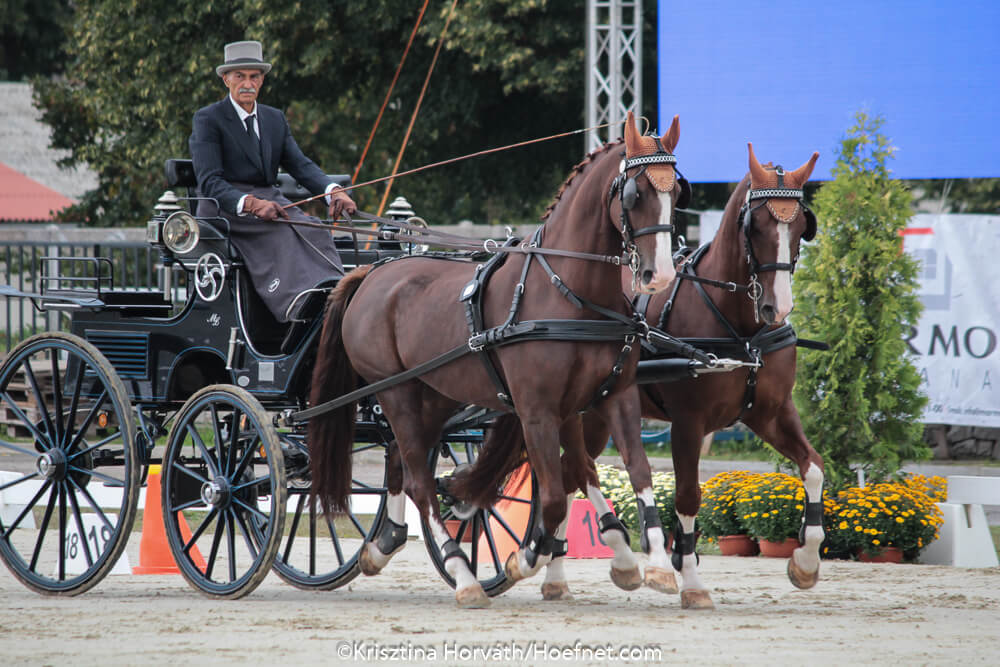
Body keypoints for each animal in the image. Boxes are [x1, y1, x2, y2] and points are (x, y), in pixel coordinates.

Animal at [310, 113, 688, 604]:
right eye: (634, 194)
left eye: (677, 192)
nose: (658, 276)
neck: (570, 293)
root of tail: (371, 272)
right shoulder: (537, 411)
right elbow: (552, 496)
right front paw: (526, 558)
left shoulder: (609, 397)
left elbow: (627, 473)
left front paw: (645, 560)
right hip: (395, 392)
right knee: (418, 481)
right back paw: (463, 574)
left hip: (434, 395)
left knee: (400, 461)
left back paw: (385, 543)